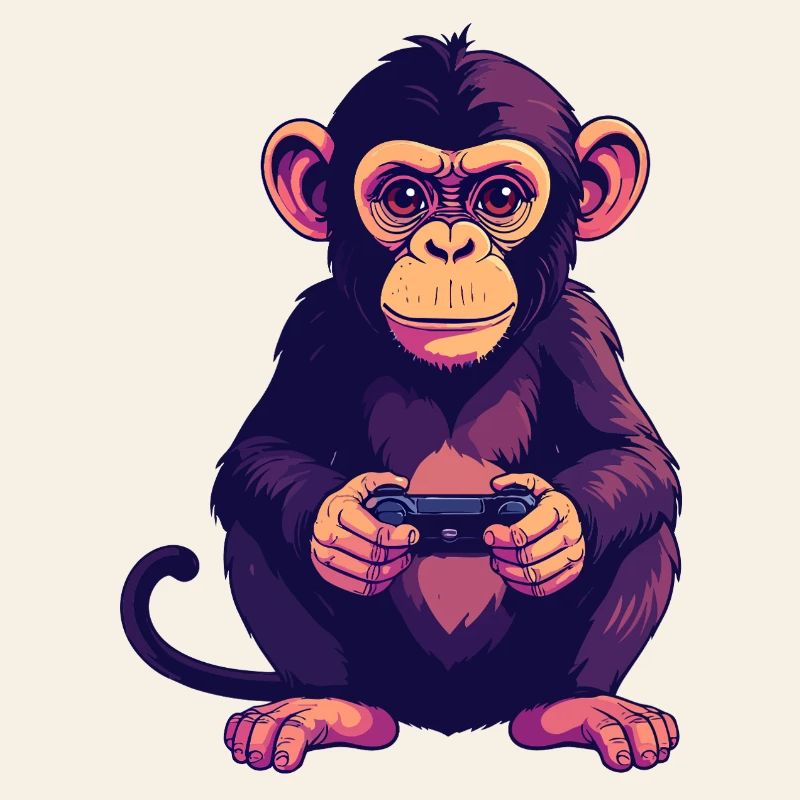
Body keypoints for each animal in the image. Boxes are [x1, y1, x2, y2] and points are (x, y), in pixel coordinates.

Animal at [121, 29, 681, 774]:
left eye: (499, 198)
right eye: (406, 196)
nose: (449, 245)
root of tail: (449, 718)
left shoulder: (580, 328)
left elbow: (632, 454)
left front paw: (552, 528)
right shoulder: (315, 327)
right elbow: (264, 450)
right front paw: (344, 526)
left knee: (646, 532)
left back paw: (576, 706)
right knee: (256, 531)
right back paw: (329, 706)